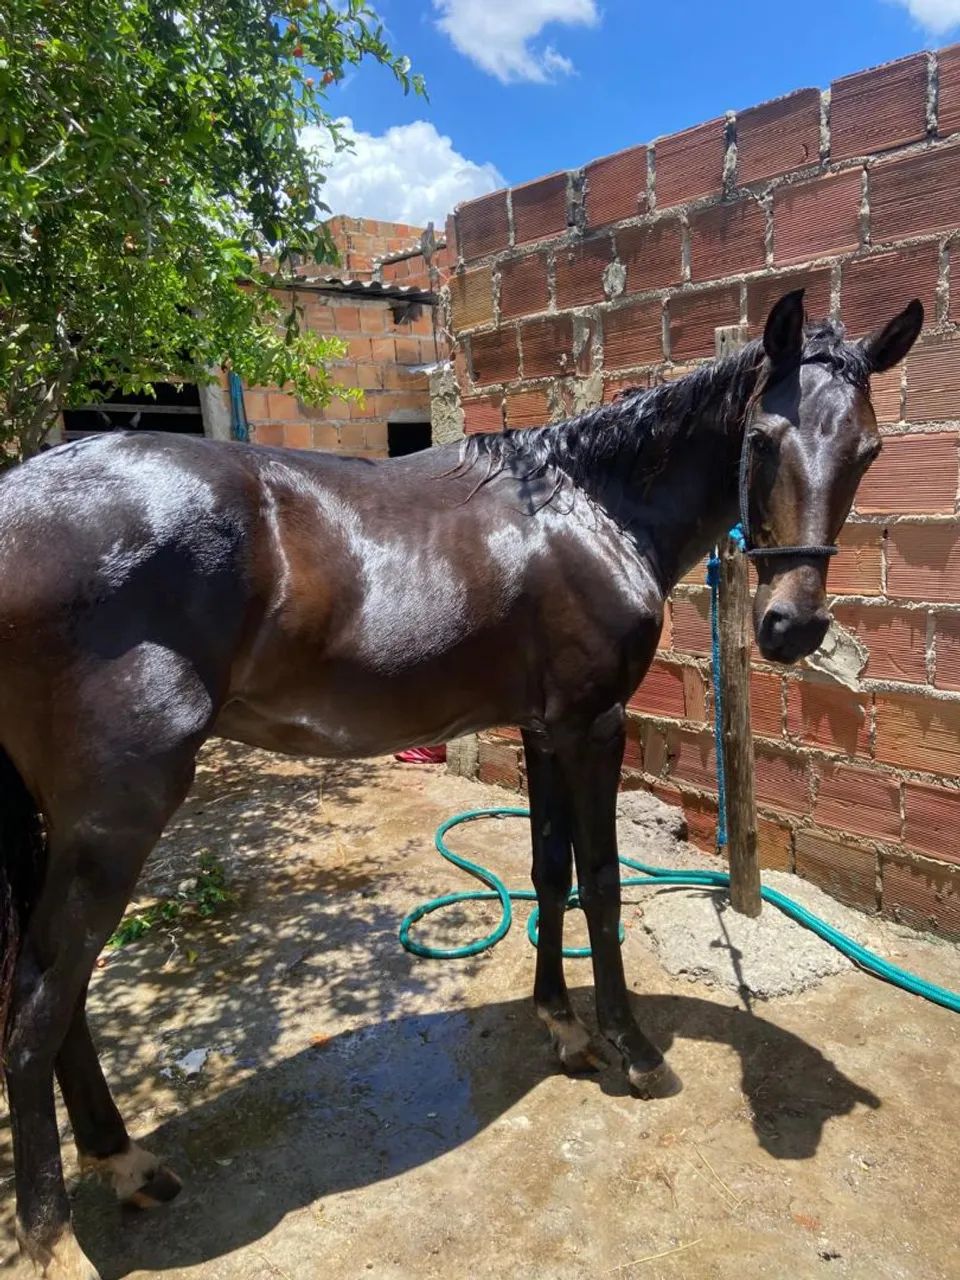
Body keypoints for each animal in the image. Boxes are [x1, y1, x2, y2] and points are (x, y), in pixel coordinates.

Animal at [0, 289, 922, 1279]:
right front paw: (633, 1050)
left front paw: (564, 1027)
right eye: (761, 438)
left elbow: (550, 875)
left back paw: (125, 1161)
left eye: (869, 449)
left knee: (61, 998)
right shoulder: (593, 726)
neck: (591, 508)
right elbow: (602, 884)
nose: (792, 626)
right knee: (37, 1007)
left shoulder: (545, 728)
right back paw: (56, 1240)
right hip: (115, 820)